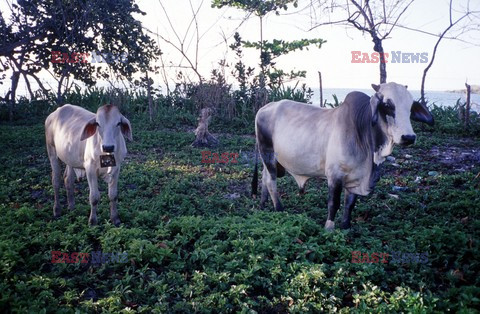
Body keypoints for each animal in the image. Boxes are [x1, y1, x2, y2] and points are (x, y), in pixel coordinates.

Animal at [253, 82, 434, 231]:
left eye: (410, 107)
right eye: (388, 105)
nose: (409, 137)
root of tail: (265, 107)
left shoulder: (355, 176)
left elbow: (349, 204)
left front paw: (346, 226)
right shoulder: (335, 175)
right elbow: (334, 203)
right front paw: (329, 228)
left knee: (264, 177)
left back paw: (263, 204)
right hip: (267, 152)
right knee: (271, 181)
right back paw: (279, 208)